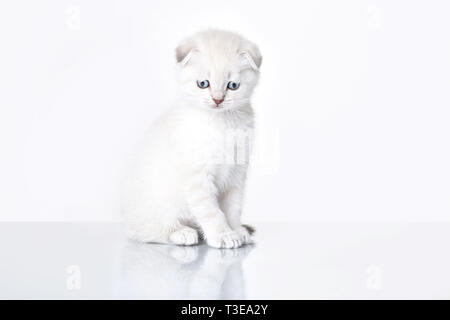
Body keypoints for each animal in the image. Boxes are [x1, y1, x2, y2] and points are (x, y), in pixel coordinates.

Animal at [122, 30, 264, 249]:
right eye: (203, 84)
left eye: (233, 86)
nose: (217, 99)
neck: (221, 124)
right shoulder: (197, 177)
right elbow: (211, 212)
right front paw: (223, 235)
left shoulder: (236, 175)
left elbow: (233, 208)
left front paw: (237, 231)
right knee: (149, 232)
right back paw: (183, 233)